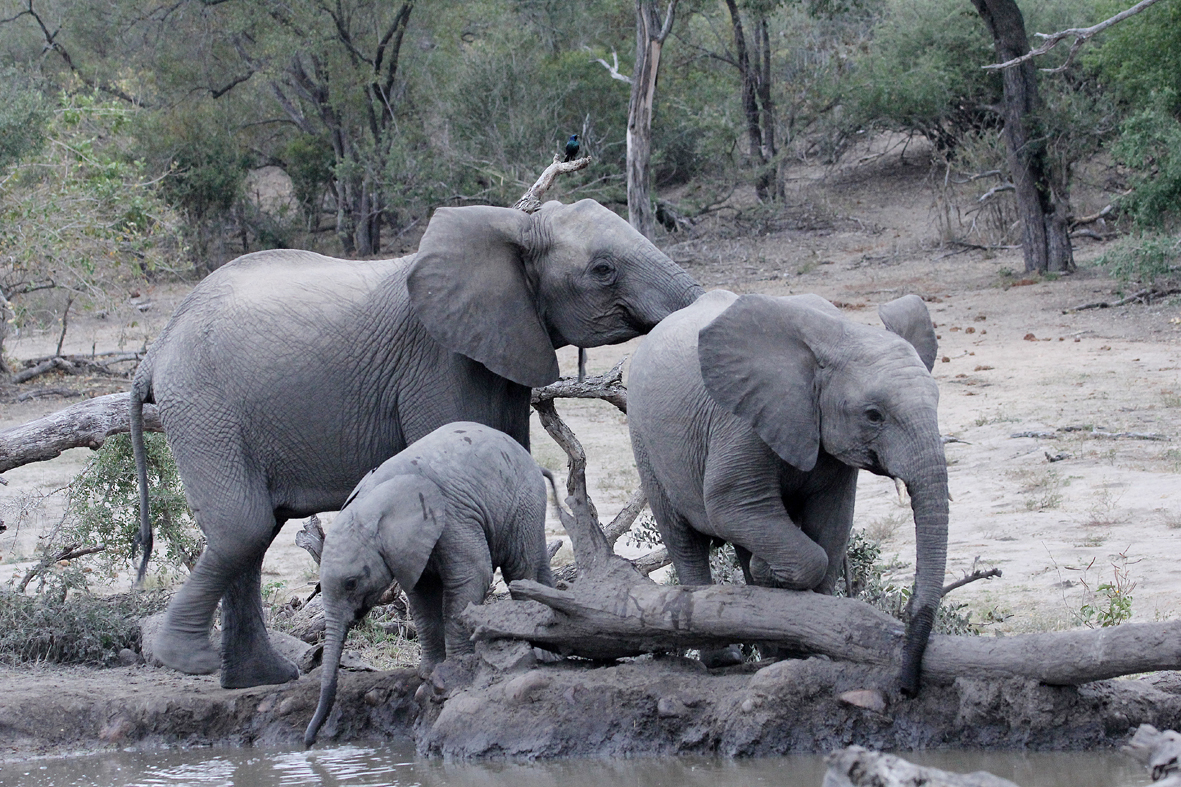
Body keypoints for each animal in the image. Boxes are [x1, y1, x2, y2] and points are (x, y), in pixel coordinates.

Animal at [131, 197, 699, 685]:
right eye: (603, 270)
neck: (512, 228)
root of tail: (155, 350)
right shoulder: (438, 360)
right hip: (206, 408)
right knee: (243, 528)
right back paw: (186, 659)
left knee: (254, 534)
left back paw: (261, 678)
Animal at [309, 420, 557, 746]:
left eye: (351, 583)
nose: (309, 741)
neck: (373, 502)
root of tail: (530, 460)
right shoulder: (410, 548)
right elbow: (422, 597)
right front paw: (428, 674)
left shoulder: (452, 516)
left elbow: (473, 576)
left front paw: (455, 671)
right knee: (537, 564)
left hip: (523, 502)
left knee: (520, 567)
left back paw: (536, 651)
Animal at [628, 289, 949, 694]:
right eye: (873, 415)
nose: (907, 686)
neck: (842, 335)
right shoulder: (742, 419)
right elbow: (729, 505)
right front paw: (771, 577)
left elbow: (832, 523)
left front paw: (807, 650)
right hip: (645, 442)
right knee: (686, 541)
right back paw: (725, 658)